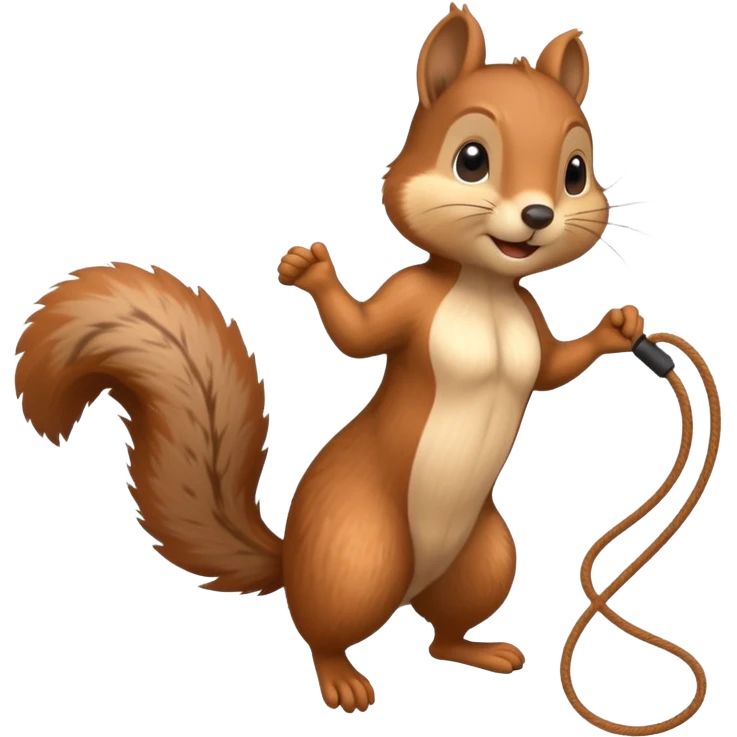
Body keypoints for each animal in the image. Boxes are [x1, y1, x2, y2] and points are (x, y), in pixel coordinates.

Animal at [15, 2, 653, 718]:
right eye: (471, 159)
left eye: (576, 171)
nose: (539, 214)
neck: (486, 287)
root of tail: (294, 558)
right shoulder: (410, 300)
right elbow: (359, 335)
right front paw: (312, 270)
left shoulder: (529, 322)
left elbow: (550, 369)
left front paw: (619, 328)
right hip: (358, 554)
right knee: (324, 632)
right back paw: (343, 681)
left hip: (485, 556)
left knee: (442, 633)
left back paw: (481, 651)